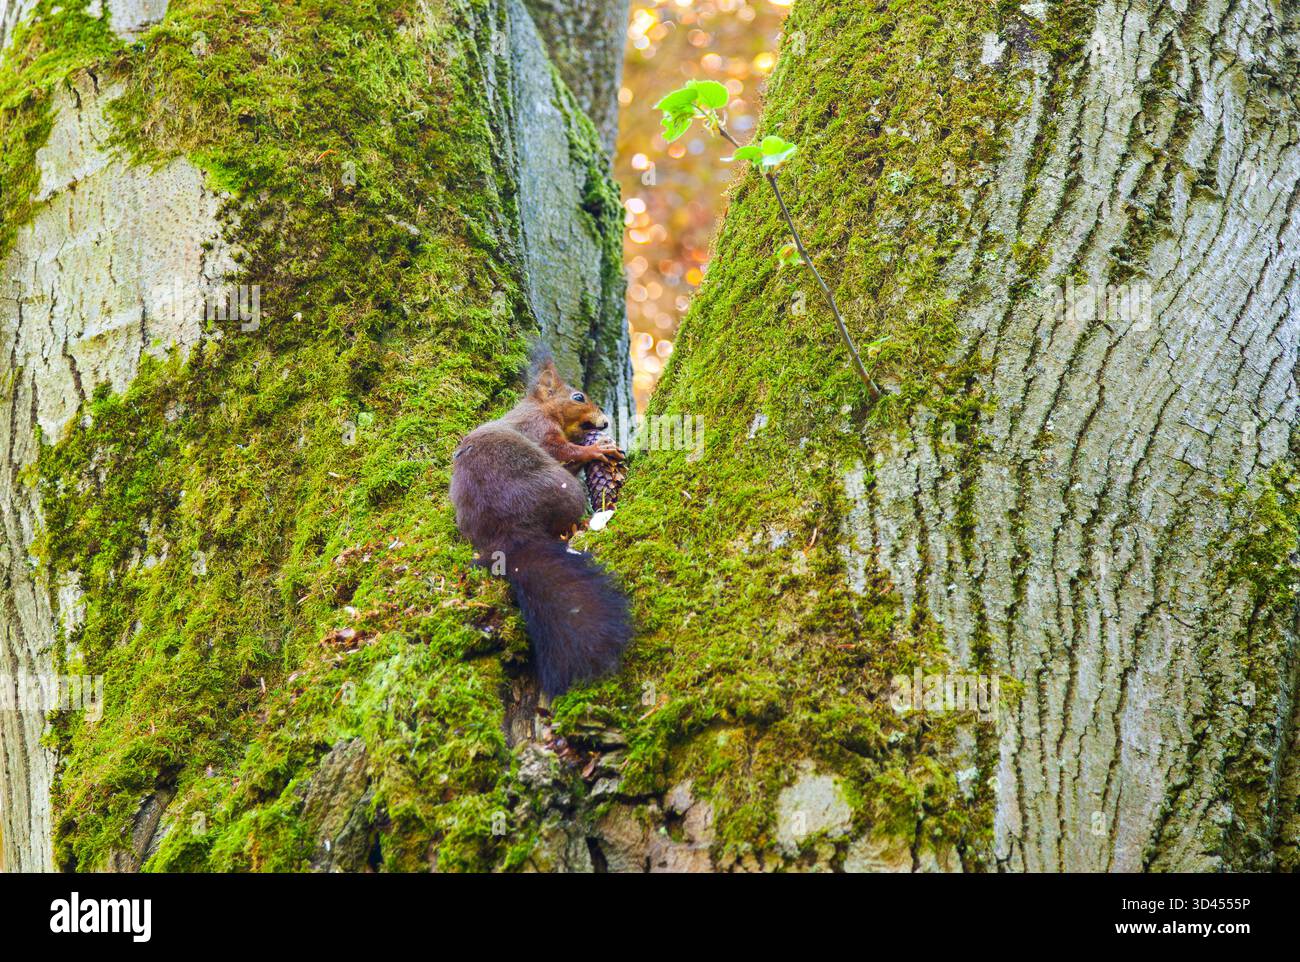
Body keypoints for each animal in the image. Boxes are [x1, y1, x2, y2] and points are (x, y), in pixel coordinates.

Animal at [450, 358, 631, 697]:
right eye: (578, 397)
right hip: (566, 491)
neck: (539, 407)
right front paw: (598, 451)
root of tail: (510, 536)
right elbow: (562, 450)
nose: (604, 424)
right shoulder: (539, 429)